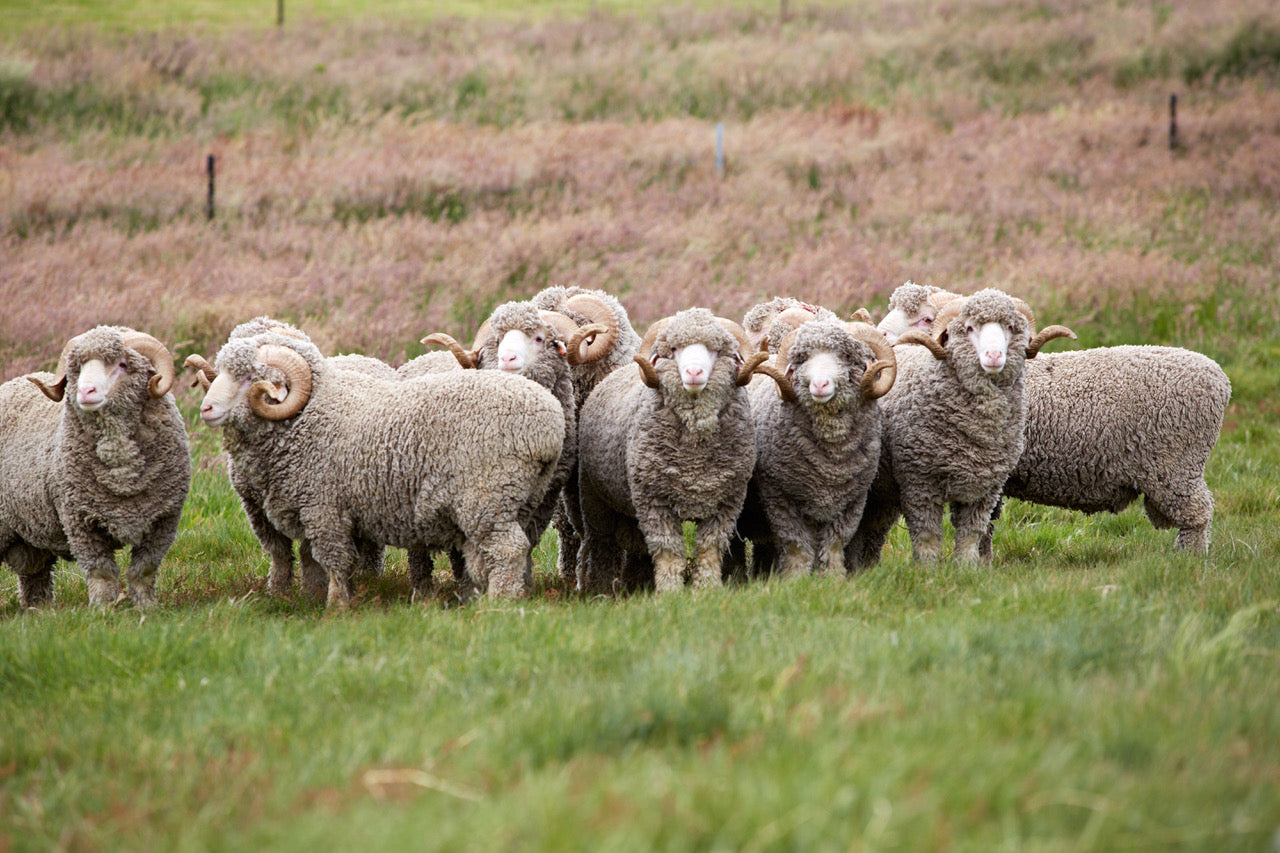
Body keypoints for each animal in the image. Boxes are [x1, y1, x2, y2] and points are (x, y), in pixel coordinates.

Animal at [0, 327, 190, 608]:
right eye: (78, 367)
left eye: (122, 364)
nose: (86, 392)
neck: (123, 478)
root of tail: (11, 382)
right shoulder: (80, 521)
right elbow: (101, 572)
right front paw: (102, 609)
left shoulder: (163, 519)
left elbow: (144, 570)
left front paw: (147, 607)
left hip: (29, 531)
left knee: (35, 573)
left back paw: (39, 609)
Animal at [194, 329, 565, 607]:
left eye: (249, 378)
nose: (206, 409)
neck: (310, 414)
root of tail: (549, 422)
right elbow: (317, 560)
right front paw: (318, 598)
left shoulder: (324, 508)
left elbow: (334, 560)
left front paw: (336, 606)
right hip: (519, 497)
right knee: (512, 549)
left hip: (488, 495)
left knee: (507, 549)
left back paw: (499, 603)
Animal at [576, 308, 769, 593]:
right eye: (675, 349)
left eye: (716, 350)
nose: (694, 372)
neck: (694, 456)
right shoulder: (654, 501)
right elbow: (668, 550)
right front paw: (669, 592)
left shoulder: (726, 503)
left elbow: (710, 549)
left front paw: (707, 589)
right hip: (594, 499)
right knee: (602, 545)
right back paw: (599, 589)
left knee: (635, 545)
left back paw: (638, 584)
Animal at [728, 319, 897, 579]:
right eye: (803, 358)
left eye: (846, 355)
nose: (819, 384)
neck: (830, 465)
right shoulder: (780, 497)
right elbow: (797, 545)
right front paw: (795, 579)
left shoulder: (852, 502)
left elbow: (834, 544)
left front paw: (833, 578)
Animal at [847, 289, 1034, 566]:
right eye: (968, 327)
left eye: (1010, 327)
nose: (994, 356)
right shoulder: (919, 480)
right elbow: (927, 534)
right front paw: (927, 569)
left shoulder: (986, 489)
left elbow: (972, 533)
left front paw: (968, 567)